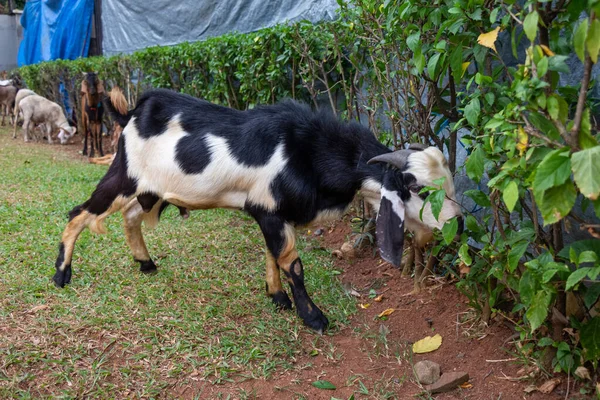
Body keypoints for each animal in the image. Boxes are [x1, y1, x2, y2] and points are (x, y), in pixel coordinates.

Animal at [52, 90, 464, 332]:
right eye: (416, 187)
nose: (456, 224)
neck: (309, 152)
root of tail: (131, 116)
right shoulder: (268, 209)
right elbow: (293, 264)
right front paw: (313, 317)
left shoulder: (271, 213)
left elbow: (272, 255)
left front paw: (277, 298)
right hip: (124, 177)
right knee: (79, 212)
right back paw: (61, 275)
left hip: (149, 191)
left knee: (130, 217)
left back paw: (146, 263)